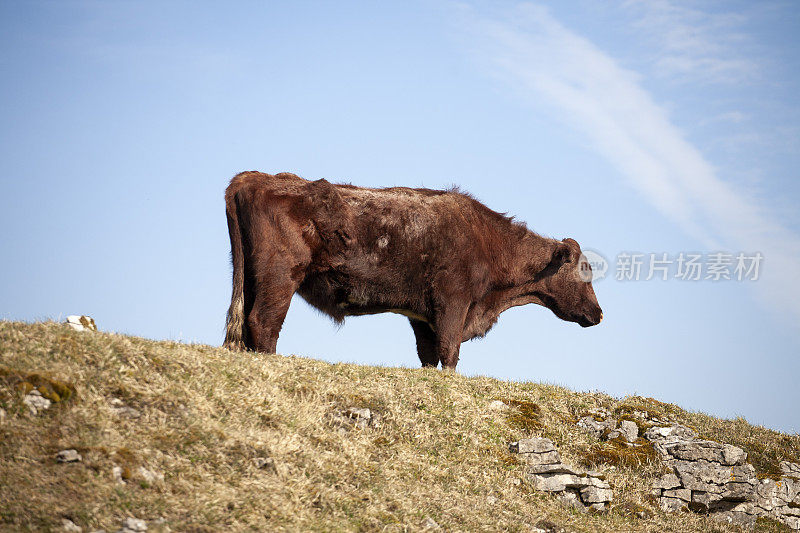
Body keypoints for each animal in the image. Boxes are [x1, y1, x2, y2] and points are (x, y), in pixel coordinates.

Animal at [222, 172, 604, 368]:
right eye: (584, 270)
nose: (599, 313)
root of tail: (255, 178)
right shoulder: (452, 304)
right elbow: (449, 353)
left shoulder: (422, 317)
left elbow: (429, 356)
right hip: (279, 277)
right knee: (264, 322)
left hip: (252, 277)